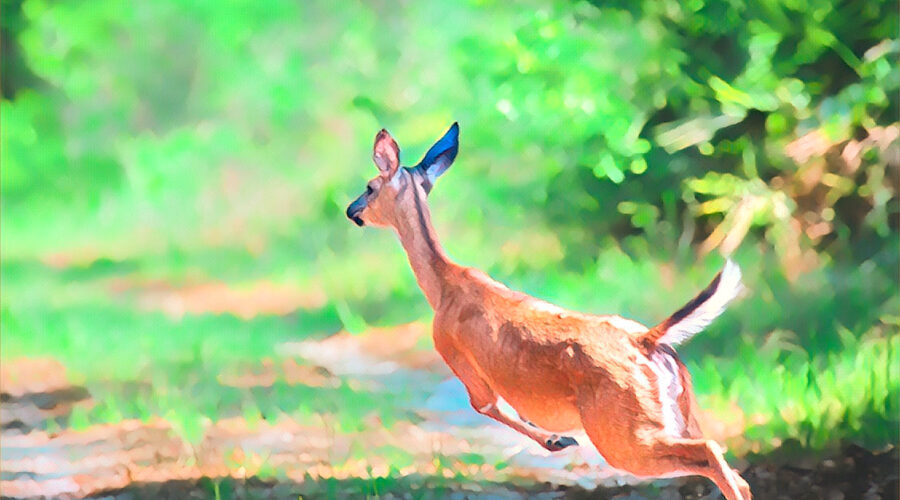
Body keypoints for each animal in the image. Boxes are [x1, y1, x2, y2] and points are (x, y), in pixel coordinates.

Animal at [346, 123, 752, 500]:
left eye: (370, 186)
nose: (352, 211)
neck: (443, 287)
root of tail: (647, 340)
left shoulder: (455, 354)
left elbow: (486, 406)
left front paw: (558, 440)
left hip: (623, 431)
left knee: (710, 452)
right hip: (681, 411)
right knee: (736, 473)